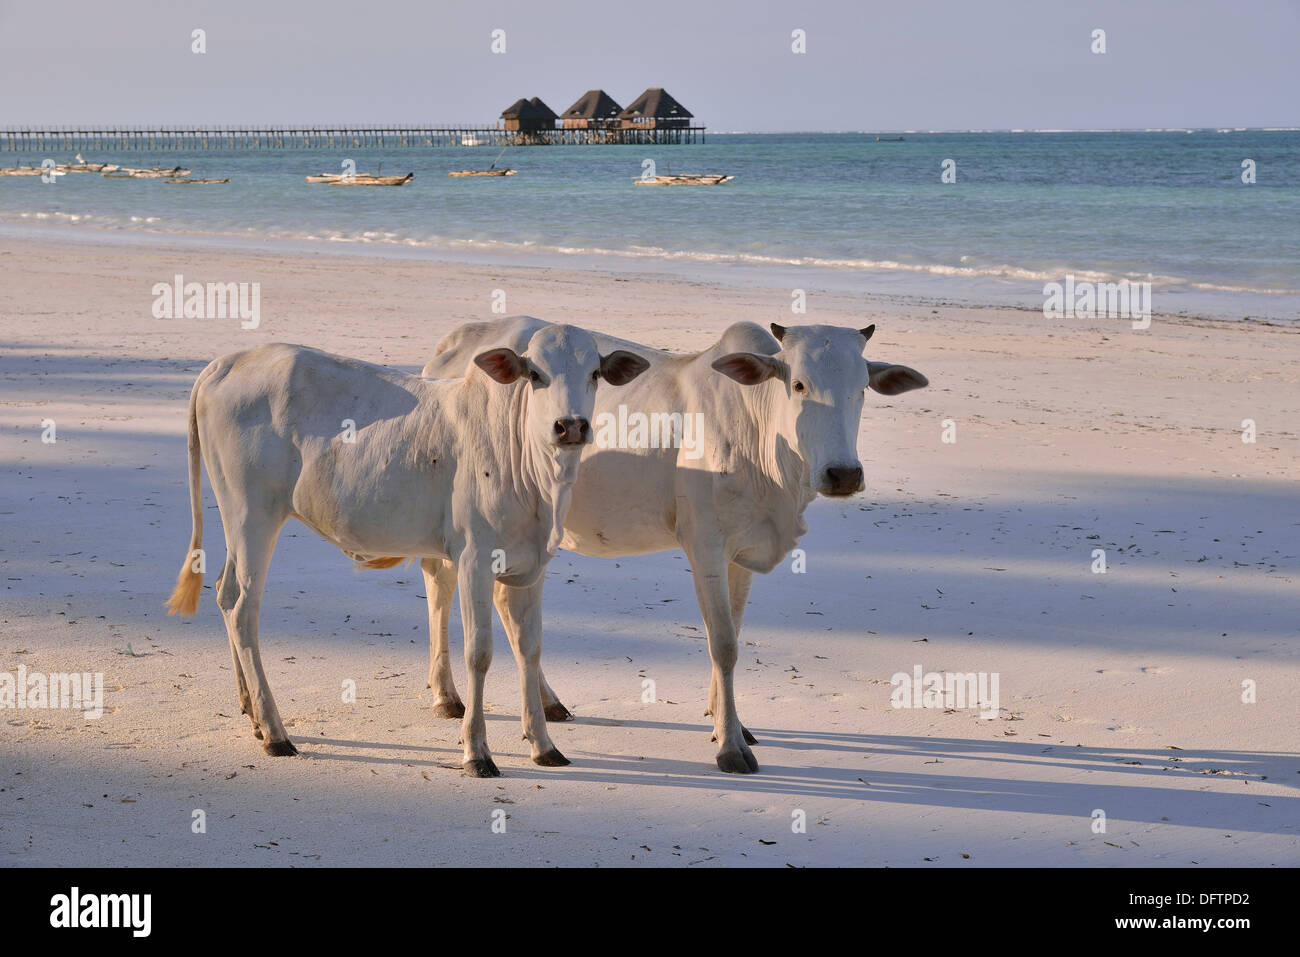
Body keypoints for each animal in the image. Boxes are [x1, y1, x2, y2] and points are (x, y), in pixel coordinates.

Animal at [163, 328, 650, 780]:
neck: (534, 475)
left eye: (594, 373)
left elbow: (529, 649)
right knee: (244, 609)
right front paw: (477, 752)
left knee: (226, 594)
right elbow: (480, 653)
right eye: (535, 374)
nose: (571, 426)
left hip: (239, 522)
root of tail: (225, 363)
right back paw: (275, 731)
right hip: (253, 515)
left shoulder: (532, 568)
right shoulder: (474, 559)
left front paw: (544, 745)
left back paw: (251, 712)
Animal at [405, 317, 925, 774]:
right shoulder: (705, 545)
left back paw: (546, 704)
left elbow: (734, 631)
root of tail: (457, 341)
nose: (843, 474)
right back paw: (447, 696)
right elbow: (723, 644)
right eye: (798, 385)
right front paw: (731, 747)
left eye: (862, 388)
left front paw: (728, 722)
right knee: (440, 587)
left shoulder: (742, 554)